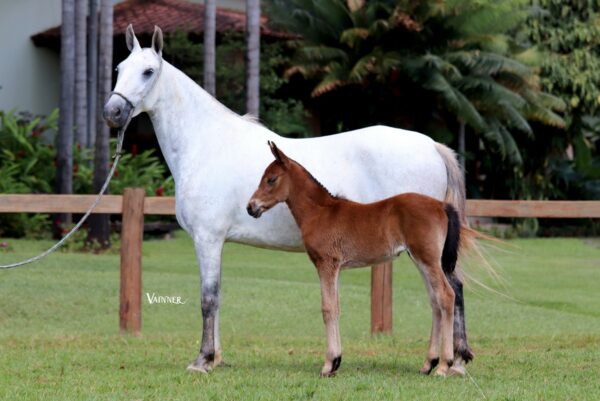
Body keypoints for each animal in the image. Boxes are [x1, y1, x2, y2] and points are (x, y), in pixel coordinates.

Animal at [246, 142, 472, 376]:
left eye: (271, 179)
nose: (251, 207)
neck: (320, 212)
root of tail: (441, 205)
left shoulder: (326, 263)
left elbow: (328, 308)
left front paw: (328, 364)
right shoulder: (335, 267)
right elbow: (336, 306)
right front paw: (336, 361)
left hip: (428, 259)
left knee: (446, 295)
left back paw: (444, 365)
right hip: (421, 260)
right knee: (435, 301)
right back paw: (428, 363)